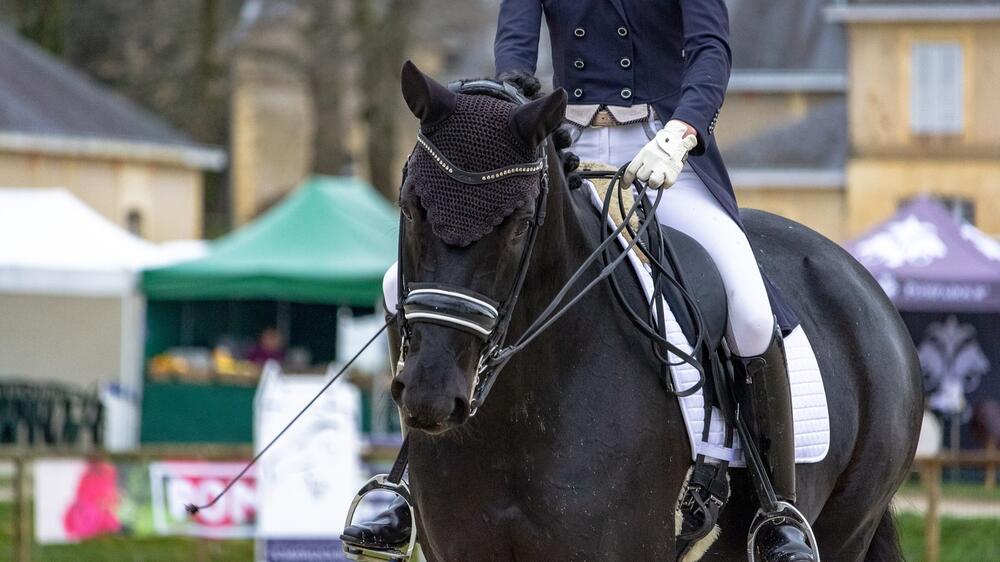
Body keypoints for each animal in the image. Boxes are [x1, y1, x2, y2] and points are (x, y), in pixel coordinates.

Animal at [388, 61, 920, 560]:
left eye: (519, 224)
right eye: (411, 207)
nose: (431, 395)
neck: (518, 419)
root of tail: (859, 278)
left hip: (847, 529)